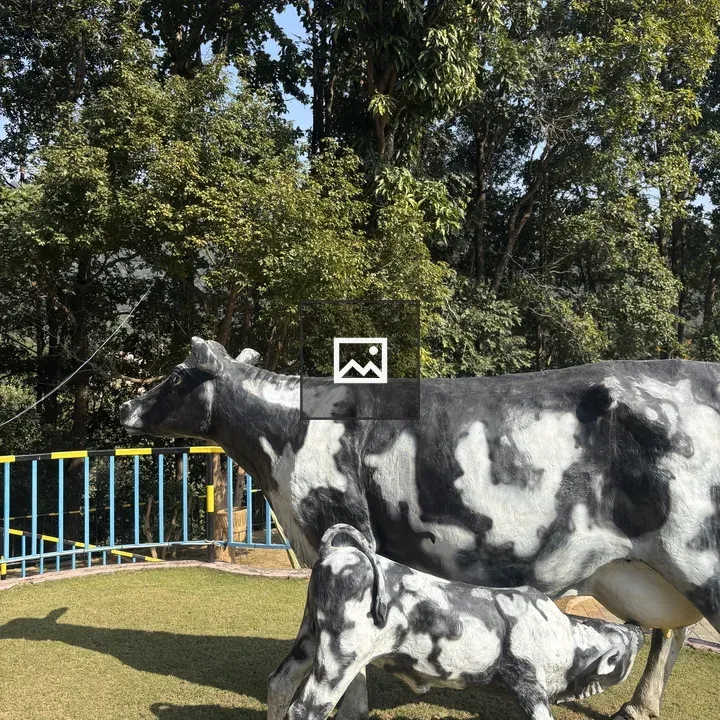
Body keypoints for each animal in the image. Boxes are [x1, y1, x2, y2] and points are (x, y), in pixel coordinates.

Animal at [268, 523, 645, 720]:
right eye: (623, 643)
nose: (637, 627)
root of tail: (339, 552)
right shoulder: (528, 683)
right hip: (339, 656)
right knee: (306, 709)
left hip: (310, 638)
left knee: (279, 683)